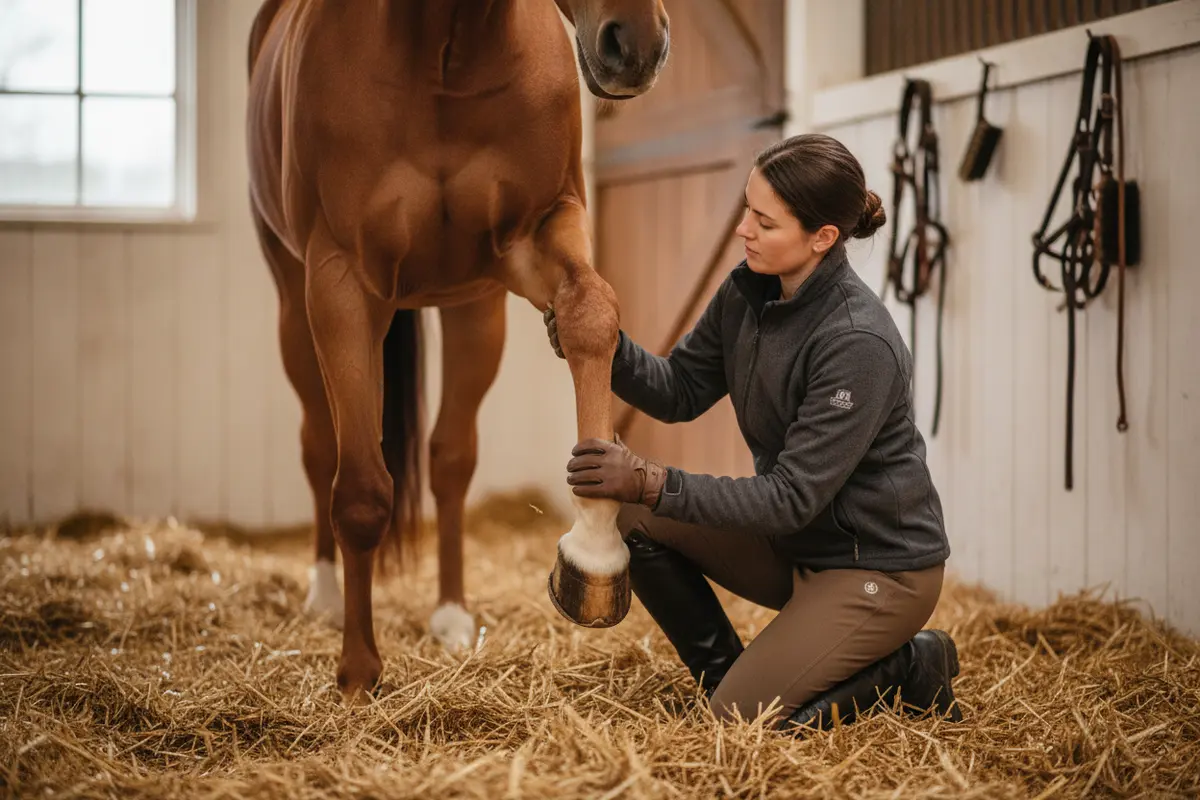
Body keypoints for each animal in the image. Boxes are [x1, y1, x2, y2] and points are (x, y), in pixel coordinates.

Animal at [245, 0, 670, 701]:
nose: (636, 45)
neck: (448, 45)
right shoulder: (340, 282)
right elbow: (360, 490)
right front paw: (358, 672)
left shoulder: (538, 232)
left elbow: (590, 313)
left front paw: (596, 543)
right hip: (293, 301)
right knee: (322, 447)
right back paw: (327, 597)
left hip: (474, 309)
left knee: (449, 458)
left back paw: (451, 615)